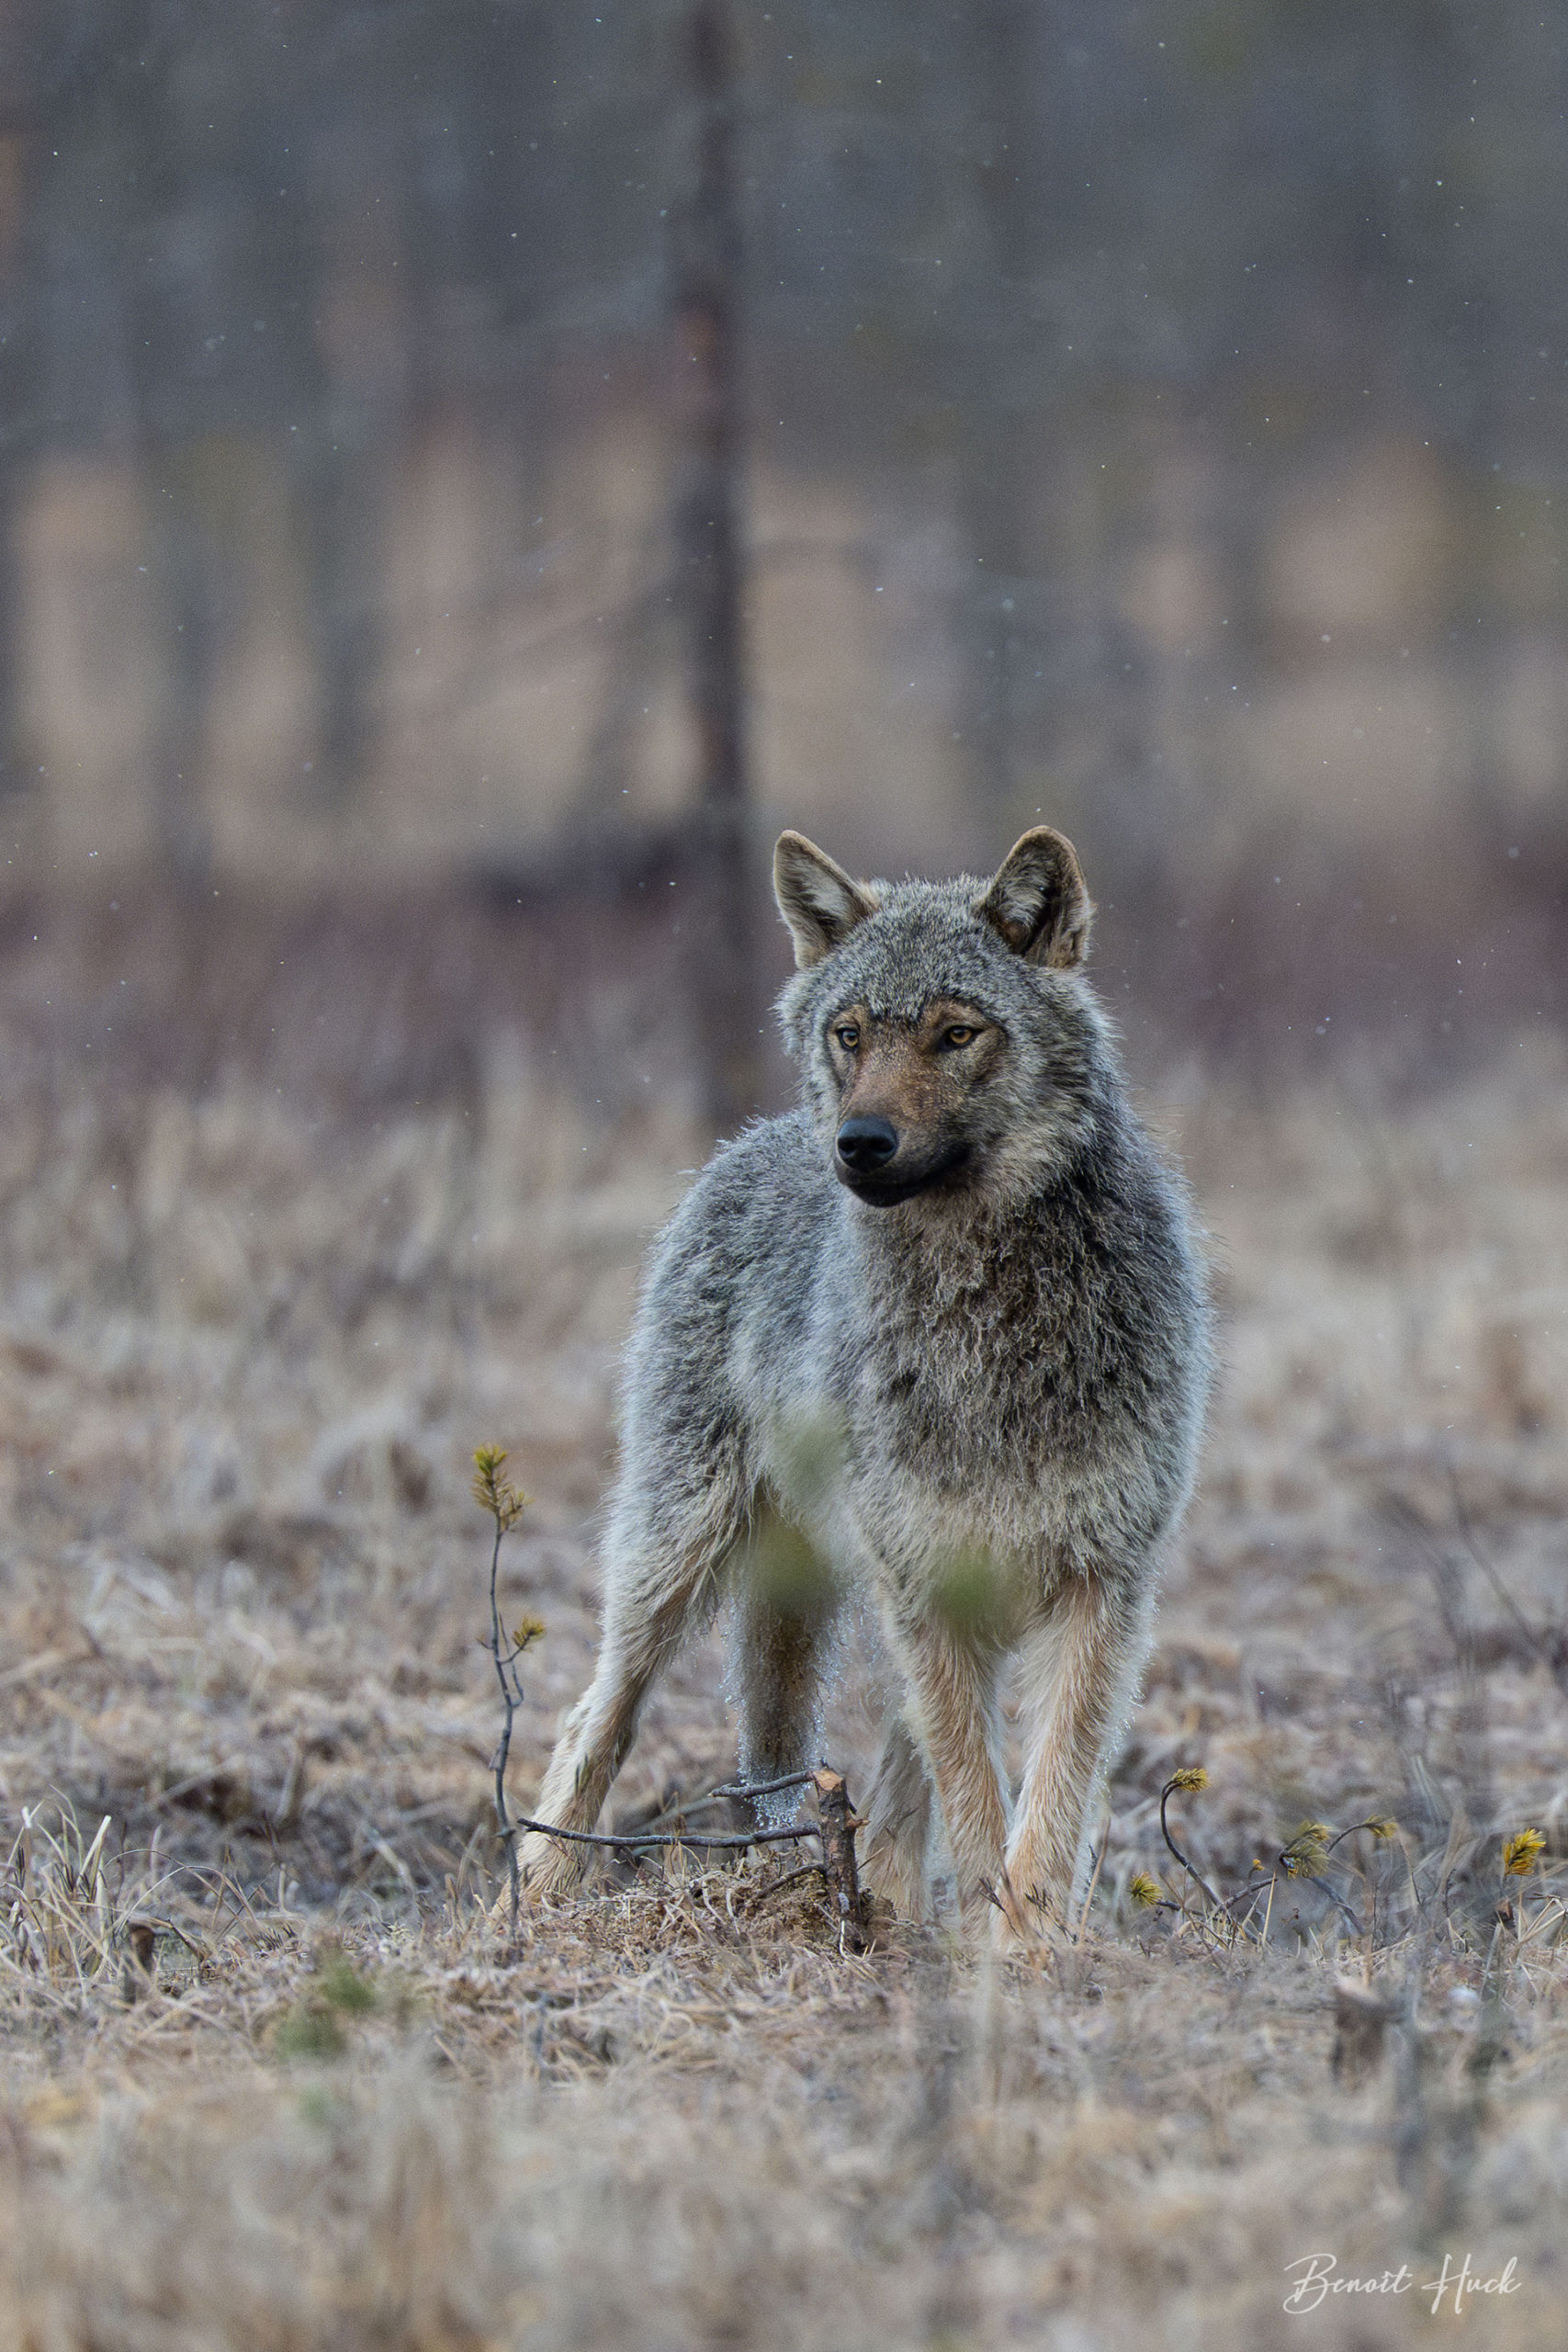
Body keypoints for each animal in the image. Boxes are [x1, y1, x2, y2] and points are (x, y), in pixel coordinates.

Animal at [516, 827, 1211, 1940]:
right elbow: (975, 1804)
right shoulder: (927, 1588)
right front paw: (994, 1947)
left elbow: (1049, 1804)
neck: (987, 1323)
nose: (861, 1144)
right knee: (598, 1713)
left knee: (878, 1783)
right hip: (680, 1563)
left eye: (955, 1033)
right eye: (849, 1035)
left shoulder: (1097, 1585)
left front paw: (1029, 1951)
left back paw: (875, 1908)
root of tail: (745, 1143)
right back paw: (534, 1900)